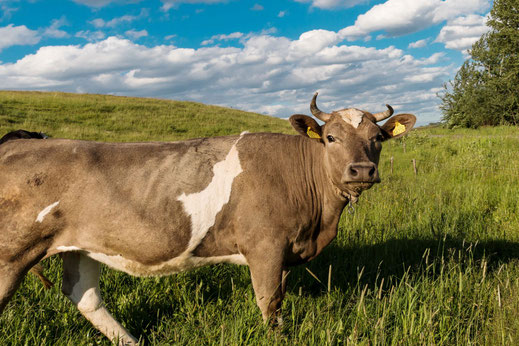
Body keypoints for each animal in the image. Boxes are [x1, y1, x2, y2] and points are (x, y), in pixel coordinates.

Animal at [0, 93, 414, 344]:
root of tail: (17, 143)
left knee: (84, 296)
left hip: (82, 245)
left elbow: (278, 300)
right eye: (330, 137)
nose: (361, 170)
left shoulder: (286, 251)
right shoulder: (265, 245)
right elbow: (269, 302)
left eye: (378, 137)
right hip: (12, 252)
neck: (318, 223)